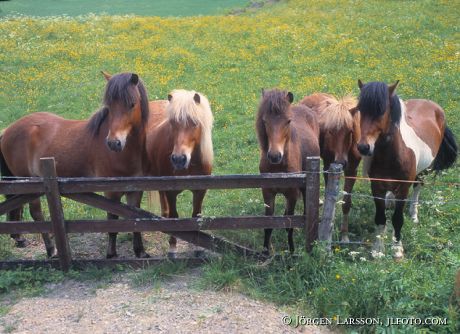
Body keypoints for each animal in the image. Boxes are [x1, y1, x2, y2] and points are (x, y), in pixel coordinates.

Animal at [0, 71, 151, 258]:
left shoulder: (136, 190)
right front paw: (111, 254)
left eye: (132, 104)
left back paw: (20, 238)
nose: (113, 143)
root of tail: (7, 130)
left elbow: (136, 219)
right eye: (109, 106)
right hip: (30, 184)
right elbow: (112, 222)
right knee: (36, 214)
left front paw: (140, 252)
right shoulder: (111, 193)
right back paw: (51, 250)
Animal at [146, 90, 214, 258]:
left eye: (195, 123)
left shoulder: (200, 191)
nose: (178, 159)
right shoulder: (172, 192)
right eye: (172, 123)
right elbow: (174, 217)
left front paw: (197, 248)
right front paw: (172, 248)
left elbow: (196, 216)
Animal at [255, 87, 320, 254]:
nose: (274, 156)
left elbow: (289, 225)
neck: (279, 167)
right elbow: (268, 224)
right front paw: (265, 251)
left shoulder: (292, 194)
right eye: (265, 121)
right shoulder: (268, 193)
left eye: (288, 121)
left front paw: (292, 251)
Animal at [300, 92, 362, 241]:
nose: (340, 162)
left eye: (350, 131)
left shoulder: (352, 171)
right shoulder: (329, 167)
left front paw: (344, 235)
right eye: (330, 131)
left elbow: (346, 203)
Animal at [356, 79, 456, 260]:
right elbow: (380, 218)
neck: (392, 154)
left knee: (417, 187)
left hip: (424, 171)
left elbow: (397, 219)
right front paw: (377, 249)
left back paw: (414, 214)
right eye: (360, 109)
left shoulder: (403, 188)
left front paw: (397, 249)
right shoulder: (376, 187)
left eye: (382, 110)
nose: (363, 147)